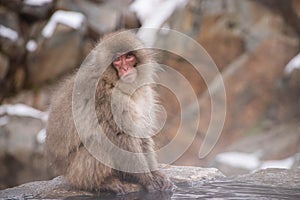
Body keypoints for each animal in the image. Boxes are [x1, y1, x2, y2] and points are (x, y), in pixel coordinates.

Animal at [46, 30, 173, 195]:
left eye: (129, 56)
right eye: (118, 60)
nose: (126, 69)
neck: (112, 82)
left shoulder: (145, 94)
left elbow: (141, 134)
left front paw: (156, 173)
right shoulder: (106, 99)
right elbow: (120, 137)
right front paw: (148, 179)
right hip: (74, 172)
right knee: (98, 142)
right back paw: (103, 183)